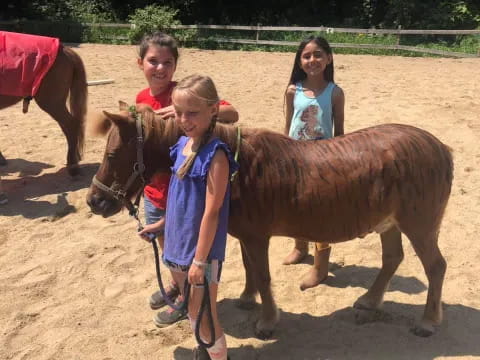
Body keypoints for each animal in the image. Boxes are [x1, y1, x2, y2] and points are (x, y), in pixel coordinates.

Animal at [85, 106, 454, 340]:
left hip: (419, 227)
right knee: (392, 259)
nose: (94, 201)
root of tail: (439, 147)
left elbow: (263, 276)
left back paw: (428, 322)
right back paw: (370, 302)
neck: (234, 165)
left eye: (112, 155)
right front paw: (248, 299)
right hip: (389, 224)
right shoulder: (247, 237)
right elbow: (250, 270)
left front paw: (266, 321)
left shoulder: (257, 237)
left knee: (436, 267)